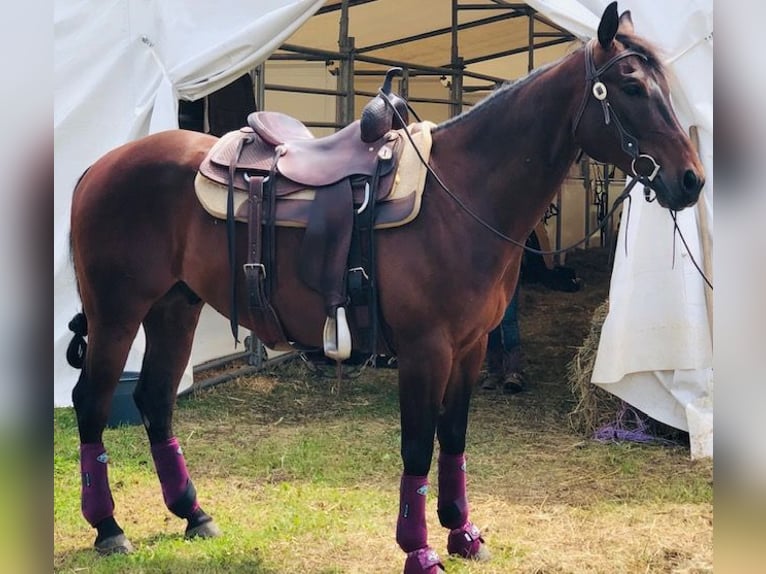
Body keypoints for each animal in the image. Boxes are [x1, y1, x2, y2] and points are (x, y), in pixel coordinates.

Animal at [65, 4, 704, 572]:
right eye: (630, 86)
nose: (691, 180)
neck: (460, 196)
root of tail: (98, 168)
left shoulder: (471, 347)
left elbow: (454, 438)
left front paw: (463, 534)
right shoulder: (425, 350)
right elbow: (418, 447)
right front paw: (419, 552)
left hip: (175, 307)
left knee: (155, 401)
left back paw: (193, 514)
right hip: (117, 314)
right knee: (92, 403)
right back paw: (109, 527)